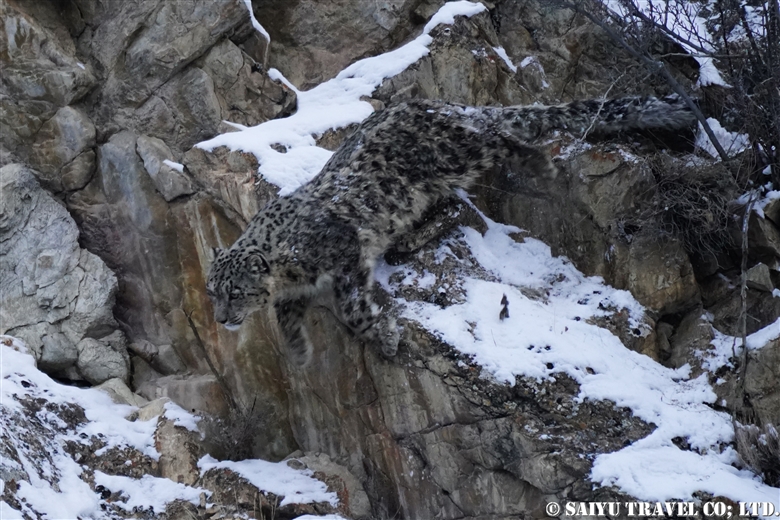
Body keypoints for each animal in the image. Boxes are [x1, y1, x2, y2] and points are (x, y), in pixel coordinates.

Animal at [206, 96, 696, 366]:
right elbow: (284, 317)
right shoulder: (296, 293)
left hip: (452, 153)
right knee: (457, 203)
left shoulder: (344, 253)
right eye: (212, 292)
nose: (221, 318)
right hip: (433, 183)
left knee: (497, 138)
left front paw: (385, 336)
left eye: (236, 292)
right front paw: (299, 353)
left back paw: (541, 162)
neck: (291, 273)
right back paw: (410, 236)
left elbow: (352, 310)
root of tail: (440, 104)